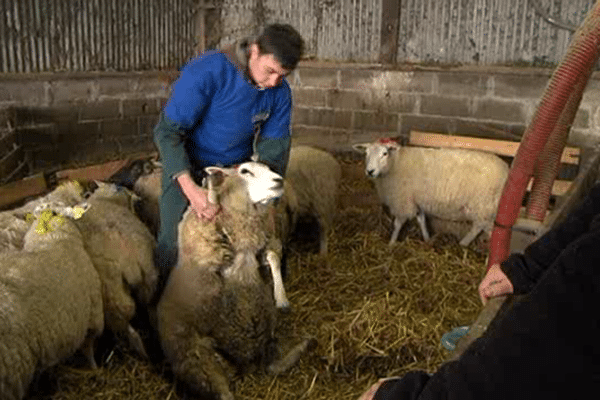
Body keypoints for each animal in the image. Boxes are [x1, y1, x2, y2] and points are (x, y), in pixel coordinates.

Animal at [157, 160, 316, 400]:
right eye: (245, 171)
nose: (279, 181)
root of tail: (246, 365)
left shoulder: (264, 242)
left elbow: (273, 256)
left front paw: (281, 297)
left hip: (267, 334)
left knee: (273, 365)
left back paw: (304, 344)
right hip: (200, 358)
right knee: (224, 392)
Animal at [352, 139, 510, 248]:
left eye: (384, 153)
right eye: (366, 153)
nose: (370, 171)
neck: (395, 163)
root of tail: (506, 170)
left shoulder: (403, 200)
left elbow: (398, 223)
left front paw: (391, 243)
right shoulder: (416, 199)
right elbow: (421, 219)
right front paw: (427, 239)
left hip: (483, 204)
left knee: (487, 229)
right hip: (484, 207)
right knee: (479, 226)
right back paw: (463, 244)